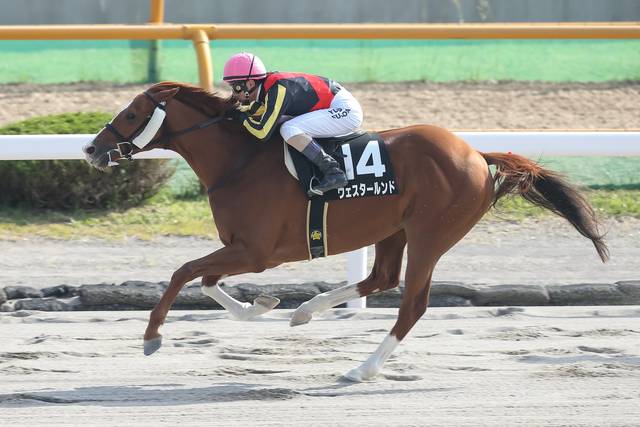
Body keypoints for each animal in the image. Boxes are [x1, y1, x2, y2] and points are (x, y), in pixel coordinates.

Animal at [83, 81, 609, 382]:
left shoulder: (256, 252)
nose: (91, 149)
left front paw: (152, 336)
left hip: (431, 234)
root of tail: (477, 155)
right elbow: (207, 281)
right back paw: (305, 313)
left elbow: (182, 272)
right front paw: (263, 306)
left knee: (412, 303)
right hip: (394, 228)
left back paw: (362, 369)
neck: (240, 161)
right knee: (380, 279)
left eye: (131, 114)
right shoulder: (242, 248)